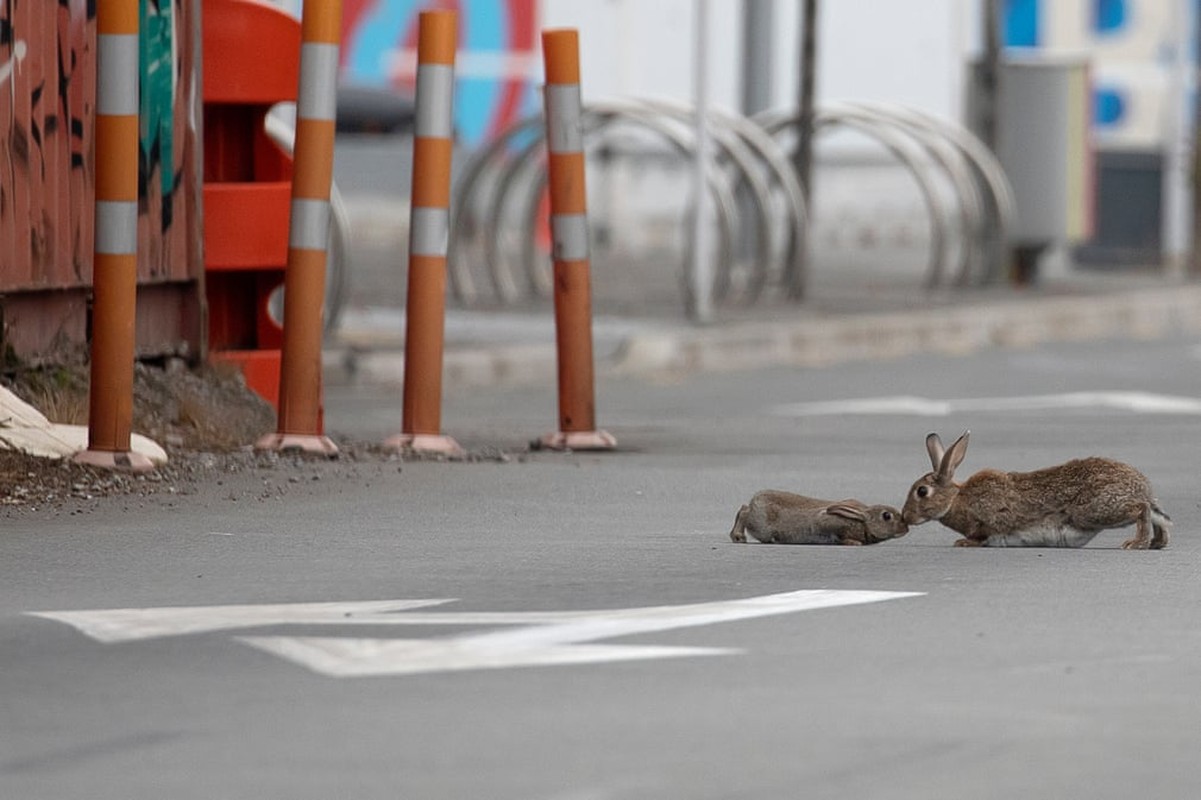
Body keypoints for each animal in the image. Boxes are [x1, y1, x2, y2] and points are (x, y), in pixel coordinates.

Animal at [730, 490, 907, 545]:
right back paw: (738, 537)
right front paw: (853, 543)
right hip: (760, 525)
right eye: (886, 516)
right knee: (744, 513)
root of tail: (756, 499)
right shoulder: (828, 524)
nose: (905, 528)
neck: (863, 521)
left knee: (743, 509)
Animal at [903, 430, 1167, 547]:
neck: (957, 499)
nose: (905, 517)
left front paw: (963, 543)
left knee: (1141, 510)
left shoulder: (988, 522)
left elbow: (982, 534)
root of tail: (1142, 487)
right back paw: (1158, 542)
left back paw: (1137, 544)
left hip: (1093, 511)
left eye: (922, 491)